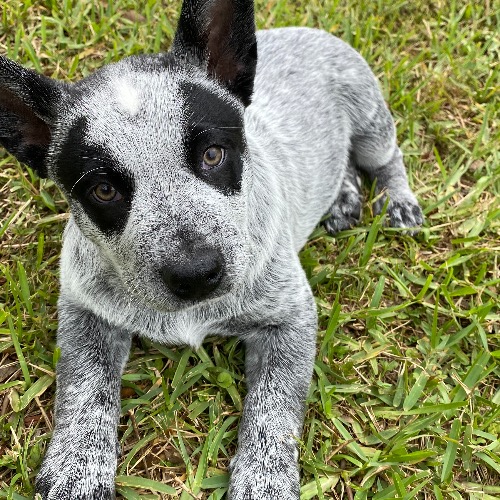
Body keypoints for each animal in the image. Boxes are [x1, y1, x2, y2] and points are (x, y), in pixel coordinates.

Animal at [0, 0, 424, 496]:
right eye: (103, 190)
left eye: (213, 155)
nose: (197, 273)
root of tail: (311, 30)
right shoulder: (85, 310)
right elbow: (84, 388)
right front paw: (76, 468)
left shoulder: (289, 318)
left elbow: (273, 407)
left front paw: (264, 482)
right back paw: (343, 198)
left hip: (370, 119)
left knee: (385, 158)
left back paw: (399, 202)